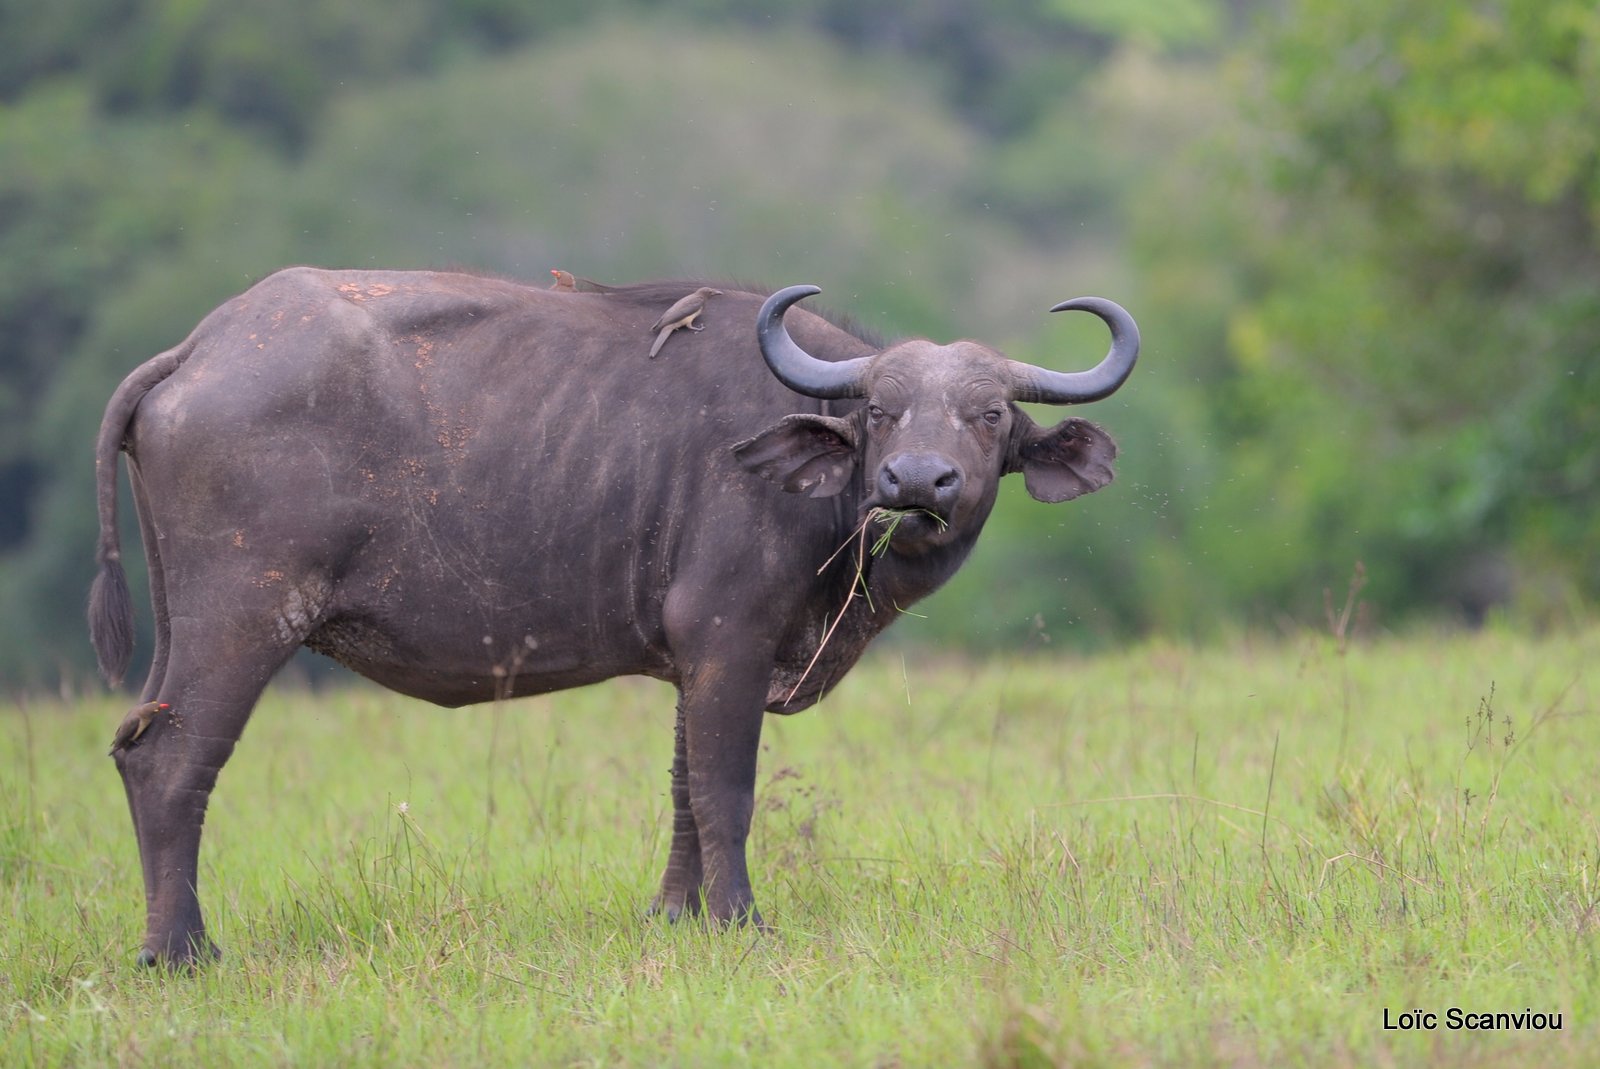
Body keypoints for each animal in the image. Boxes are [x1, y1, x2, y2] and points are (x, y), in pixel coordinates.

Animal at [90, 267, 1139, 966]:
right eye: (879, 410)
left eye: (990, 416)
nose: (917, 482)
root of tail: (203, 346)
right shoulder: (729, 641)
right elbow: (725, 790)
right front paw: (741, 920)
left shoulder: (692, 662)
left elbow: (679, 791)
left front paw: (676, 917)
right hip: (245, 618)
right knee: (173, 761)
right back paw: (181, 951)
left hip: (185, 625)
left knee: (138, 746)